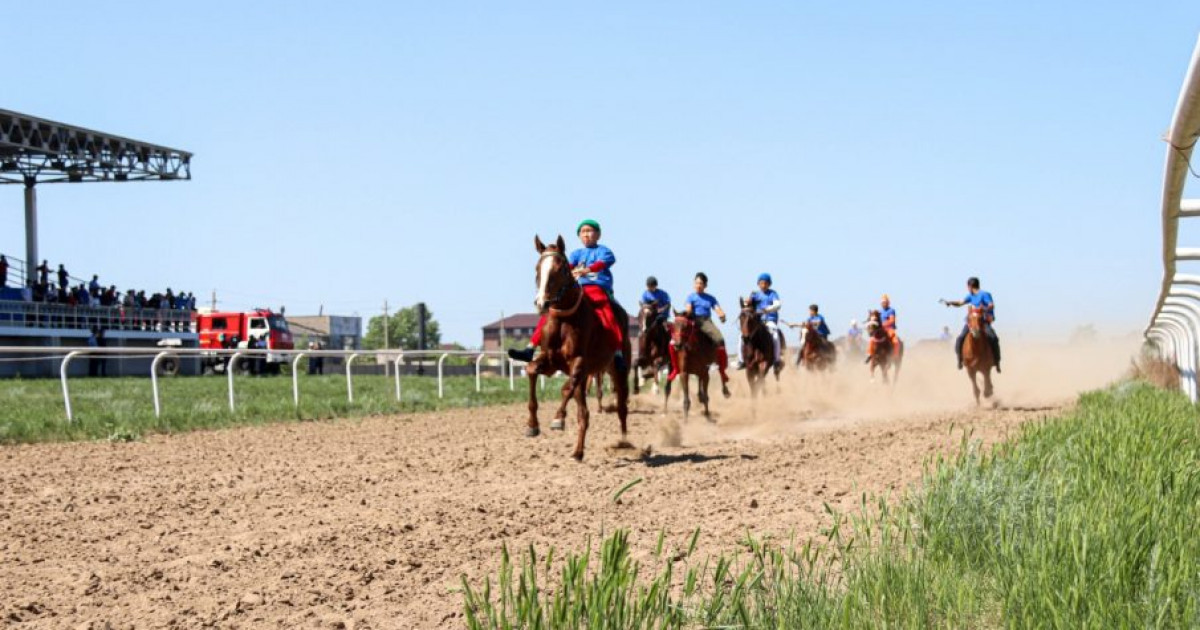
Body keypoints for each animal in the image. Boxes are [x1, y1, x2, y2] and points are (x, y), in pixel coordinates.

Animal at [525, 232, 638, 458]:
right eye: (537, 268)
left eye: (561, 269)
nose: (542, 303)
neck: (564, 320)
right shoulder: (550, 361)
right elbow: (532, 370)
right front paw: (532, 425)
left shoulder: (579, 362)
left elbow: (567, 388)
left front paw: (558, 418)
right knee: (583, 413)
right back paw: (578, 451)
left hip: (619, 369)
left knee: (621, 407)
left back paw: (623, 441)